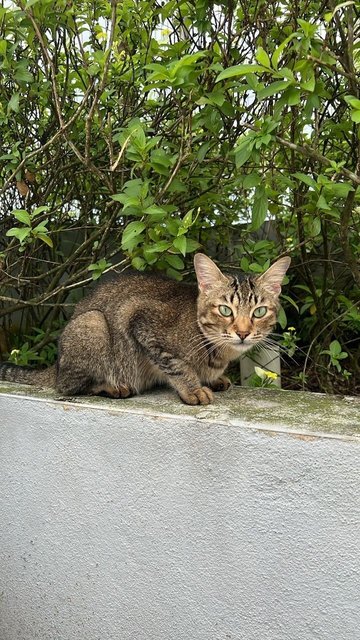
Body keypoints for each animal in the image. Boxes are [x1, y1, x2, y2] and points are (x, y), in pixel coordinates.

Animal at [0, 251, 290, 404]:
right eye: (225, 310)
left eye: (259, 311)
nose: (242, 332)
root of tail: (56, 365)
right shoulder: (140, 321)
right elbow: (177, 365)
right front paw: (193, 388)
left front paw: (214, 379)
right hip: (93, 323)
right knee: (67, 386)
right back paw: (111, 386)